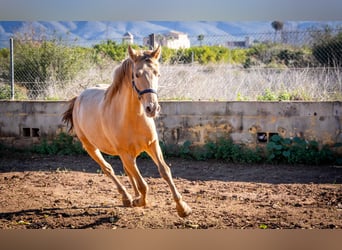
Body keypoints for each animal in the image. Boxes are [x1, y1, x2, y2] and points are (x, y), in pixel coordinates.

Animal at [62, 45, 191, 217]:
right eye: (137, 74)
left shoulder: (152, 145)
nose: (152, 108)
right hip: (91, 147)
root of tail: (78, 99)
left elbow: (164, 171)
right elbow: (143, 184)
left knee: (127, 170)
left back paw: (133, 196)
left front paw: (182, 207)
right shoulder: (124, 153)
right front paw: (139, 201)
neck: (132, 118)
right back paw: (127, 197)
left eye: (157, 73)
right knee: (108, 169)